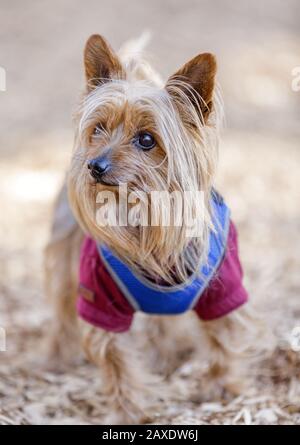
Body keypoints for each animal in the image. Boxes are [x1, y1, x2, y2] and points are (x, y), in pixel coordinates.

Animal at [44, 34, 260, 424]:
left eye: (147, 140)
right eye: (98, 129)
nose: (94, 166)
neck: (145, 217)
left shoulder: (224, 285)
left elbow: (224, 336)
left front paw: (222, 388)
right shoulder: (99, 294)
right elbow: (115, 358)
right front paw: (129, 410)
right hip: (66, 262)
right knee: (62, 308)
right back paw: (55, 359)